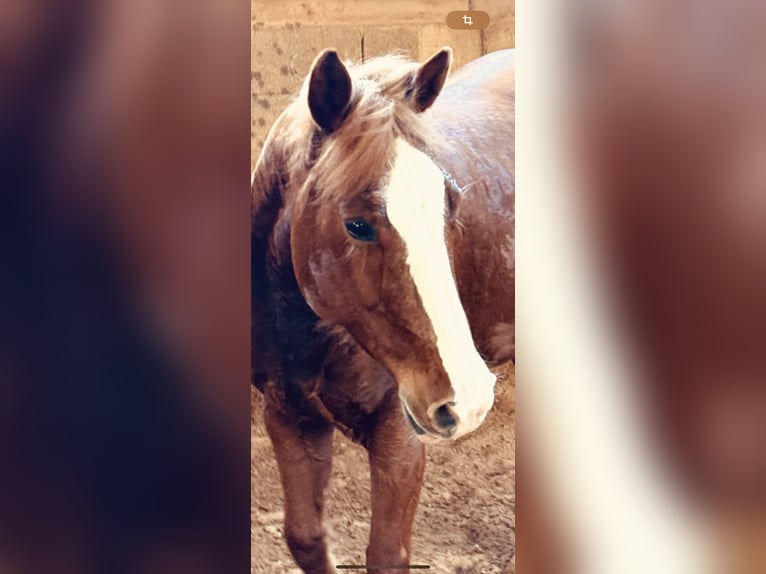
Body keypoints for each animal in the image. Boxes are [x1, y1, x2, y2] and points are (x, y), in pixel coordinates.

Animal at [254, 47, 516, 572]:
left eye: (451, 204)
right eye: (356, 224)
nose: (469, 398)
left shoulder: (398, 435)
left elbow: (386, 554)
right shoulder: (289, 418)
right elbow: (307, 538)